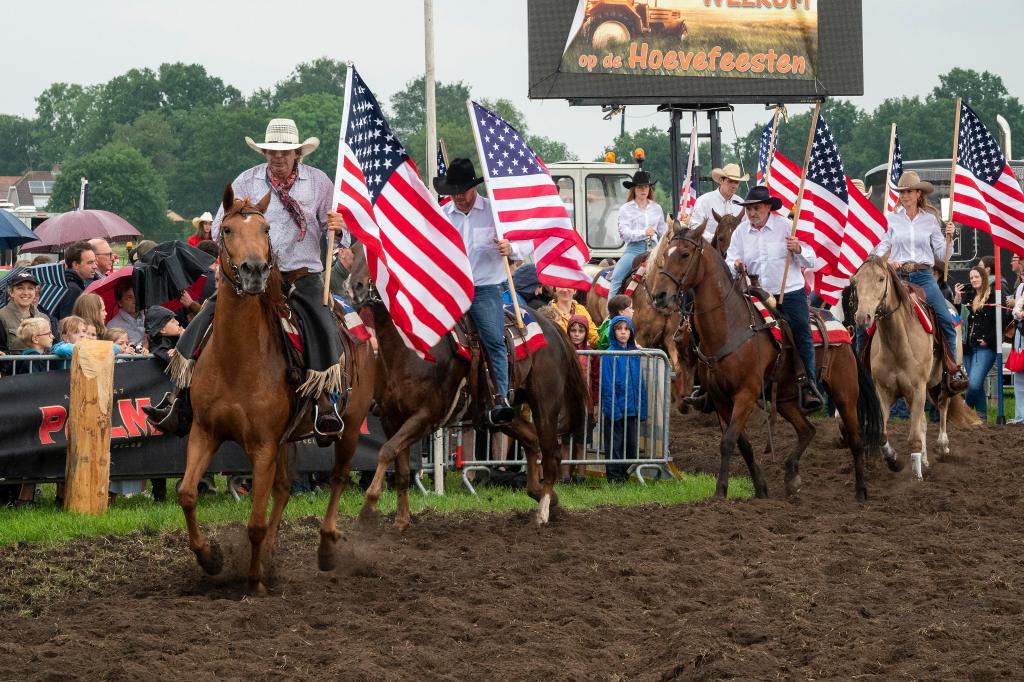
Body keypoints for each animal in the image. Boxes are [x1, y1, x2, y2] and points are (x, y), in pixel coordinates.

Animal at [176, 186, 375, 591]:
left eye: (266, 228)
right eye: (228, 229)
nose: (254, 271)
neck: (237, 359)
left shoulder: (263, 446)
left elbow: (254, 521)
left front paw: (254, 583)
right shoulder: (205, 432)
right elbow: (187, 494)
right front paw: (210, 559)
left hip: (350, 424)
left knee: (338, 477)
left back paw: (326, 549)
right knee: (283, 488)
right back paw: (268, 553)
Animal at [348, 242, 590, 526]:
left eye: (376, 252)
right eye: (353, 252)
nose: (355, 287)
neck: (409, 349)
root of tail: (551, 326)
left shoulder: (426, 416)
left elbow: (386, 451)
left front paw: (368, 506)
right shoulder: (391, 417)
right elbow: (401, 468)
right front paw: (401, 520)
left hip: (545, 405)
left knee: (552, 456)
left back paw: (542, 511)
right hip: (501, 414)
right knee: (531, 440)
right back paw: (544, 496)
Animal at [651, 223, 884, 500]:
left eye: (685, 254)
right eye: (666, 254)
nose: (659, 295)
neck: (732, 326)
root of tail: (844, 330)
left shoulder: (746, 394)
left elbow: (727, 442)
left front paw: (720, 491)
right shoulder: (720, 399)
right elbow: (742, 443)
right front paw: (761, 488)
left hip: (844, 393)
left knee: (856, 440)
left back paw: (861, 492)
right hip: (785, 399)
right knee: (807, 430)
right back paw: (792, 476)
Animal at [849, 256, 978, 473]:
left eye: (881, 278)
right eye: (856, 281)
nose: (862, 317)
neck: (898, 342)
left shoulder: (917, 388)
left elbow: (914, 438)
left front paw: (916, 475)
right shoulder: (884, 392)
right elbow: (883, 433)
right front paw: (894, 461)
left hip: (941, 382)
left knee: (943, 406)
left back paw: (942, 446)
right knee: (923, 421)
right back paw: (924, 460)